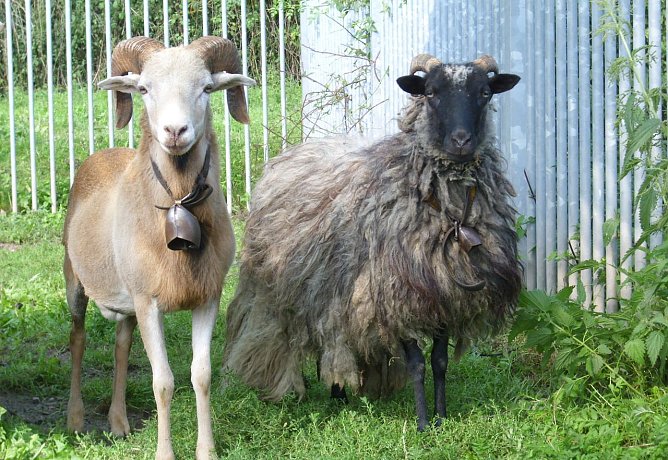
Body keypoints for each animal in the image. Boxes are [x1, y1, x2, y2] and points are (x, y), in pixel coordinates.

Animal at [63, 36, 254, 459]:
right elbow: (163, 382)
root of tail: (106, 151)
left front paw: (206, 450)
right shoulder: (149, 301)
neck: (176, 203)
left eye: (206, 88)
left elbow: (201, 375)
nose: (175, 130)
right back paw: (76, 420)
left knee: (121, 346)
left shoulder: (206, 297)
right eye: (145, 89)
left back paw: (119, 422)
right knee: (78, 339)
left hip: (127, 301)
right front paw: (165, 452)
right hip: (76, 284)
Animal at [223, 54, 522, 431]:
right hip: (284, 290)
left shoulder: (443, 296)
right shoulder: (393, 298)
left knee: (333, 334)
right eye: (431, 93)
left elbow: (439, 362)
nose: (461, 141)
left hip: (331, 288)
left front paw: (441, 418)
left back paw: (338, 393)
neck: (448, 213)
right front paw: (423, 424)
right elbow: (417, 365)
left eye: (484, 92)